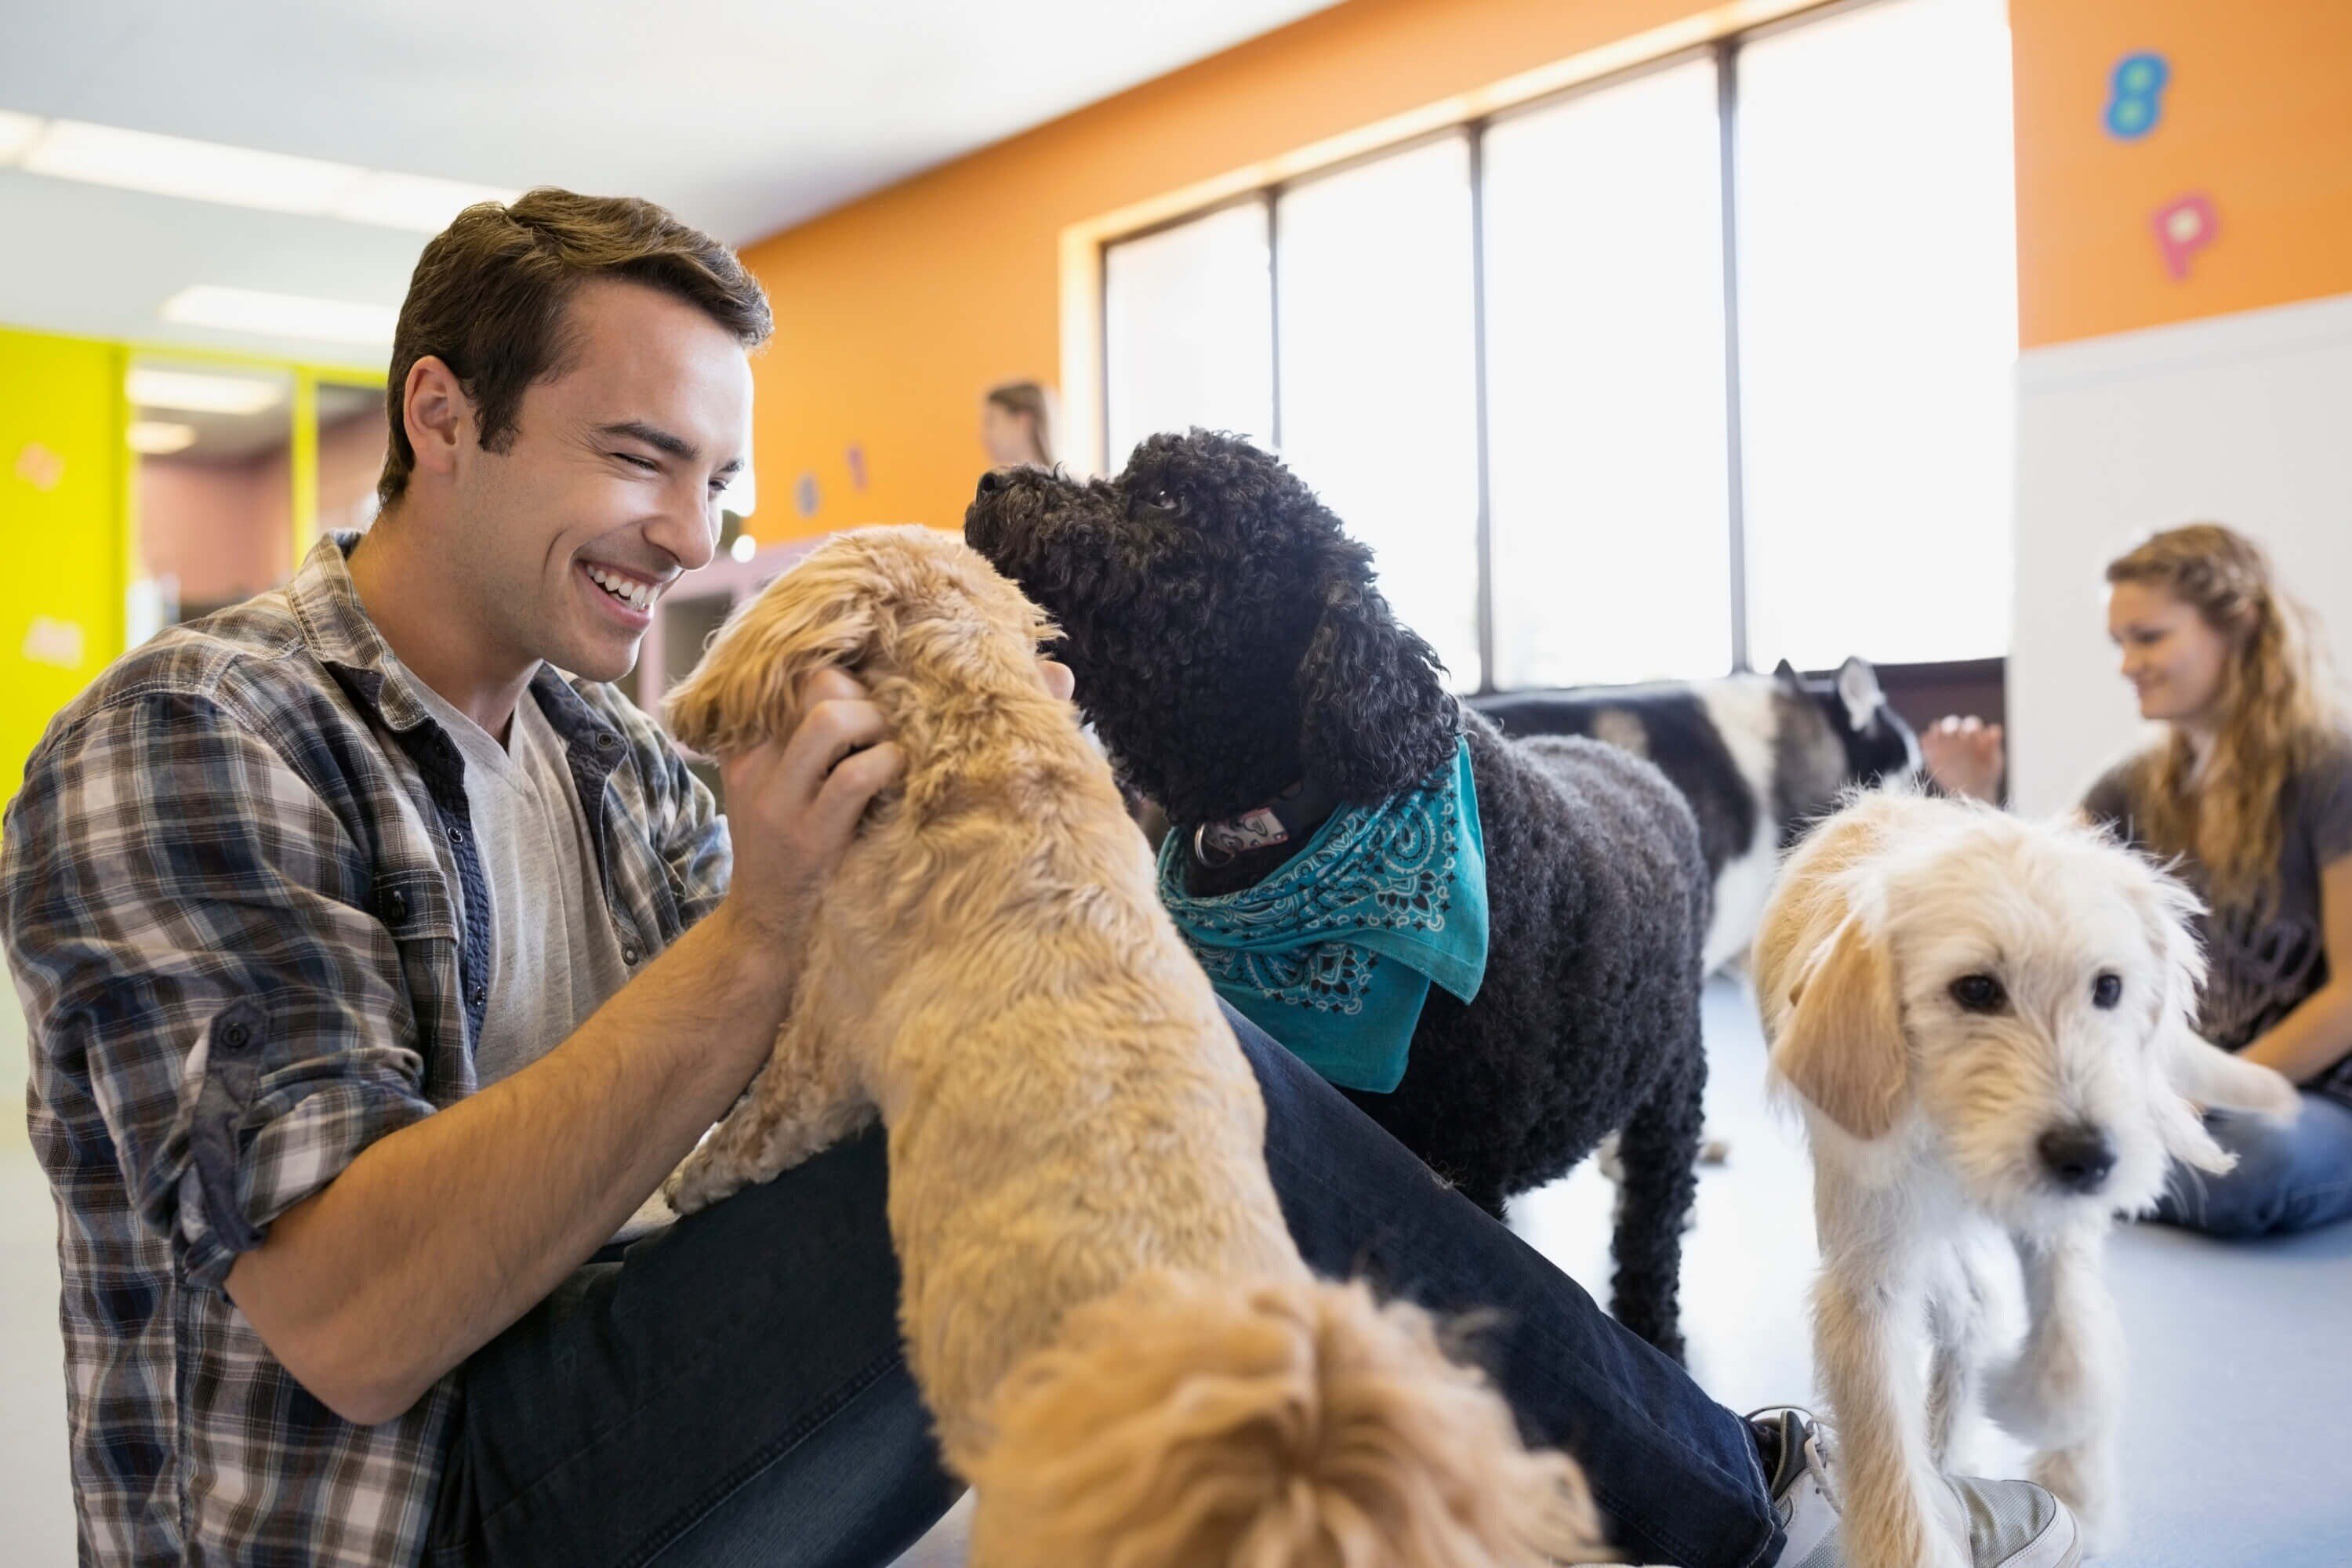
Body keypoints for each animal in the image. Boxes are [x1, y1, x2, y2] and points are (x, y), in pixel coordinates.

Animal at [1769, 799, 2296, 1568]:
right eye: (1976, 989)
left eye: (2108, 988)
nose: (2088, 1157)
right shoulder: (1870, 1277)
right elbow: (1886, 1456)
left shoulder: (2059, 1223)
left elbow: (2074, 1356)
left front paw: (2062, 1454)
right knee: (1965, 1308)